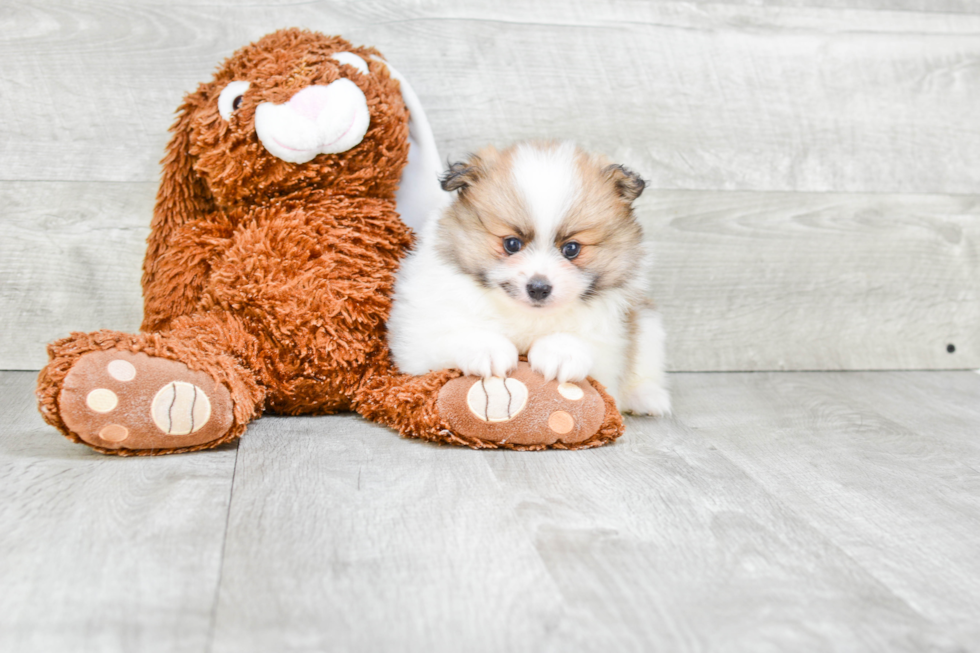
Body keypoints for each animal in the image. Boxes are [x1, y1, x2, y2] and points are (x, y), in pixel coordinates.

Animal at [386, 141, 668, 416]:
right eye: (512, 244)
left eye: (571, 249)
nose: (539, 288)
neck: (525, 317)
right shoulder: (416, 339)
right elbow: (452, 333)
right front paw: (486, 349)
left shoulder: (612, 345)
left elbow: (588, 343)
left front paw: (561, 352)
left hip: (648, 324)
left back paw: (646, 396)